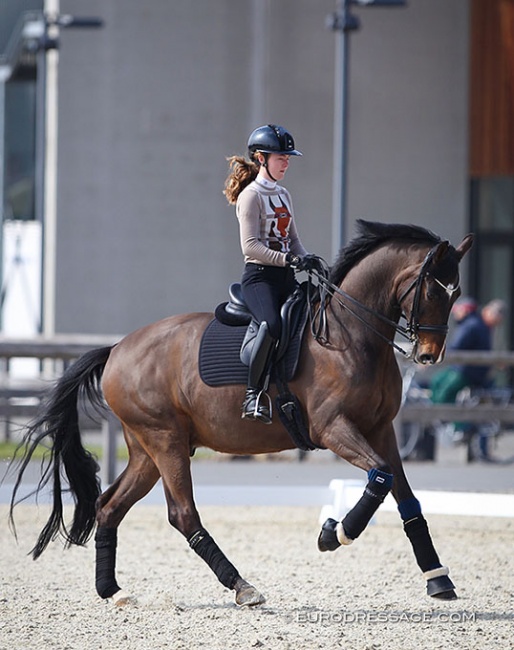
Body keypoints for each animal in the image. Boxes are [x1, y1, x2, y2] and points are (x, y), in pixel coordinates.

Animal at [9, 220, 472, 604]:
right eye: (433, 290)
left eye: (457, 293)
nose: (429, 355)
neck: (352, 333)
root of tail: (118, 349)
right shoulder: (333, 428)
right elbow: (380, 477)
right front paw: (333, 533)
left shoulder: (380, 430)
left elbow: (404, 494)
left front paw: (438, 578)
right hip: (165, 441)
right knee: (182, 514)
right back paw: (242, 586)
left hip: (146, 451)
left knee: (110, 507)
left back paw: (112, 591)